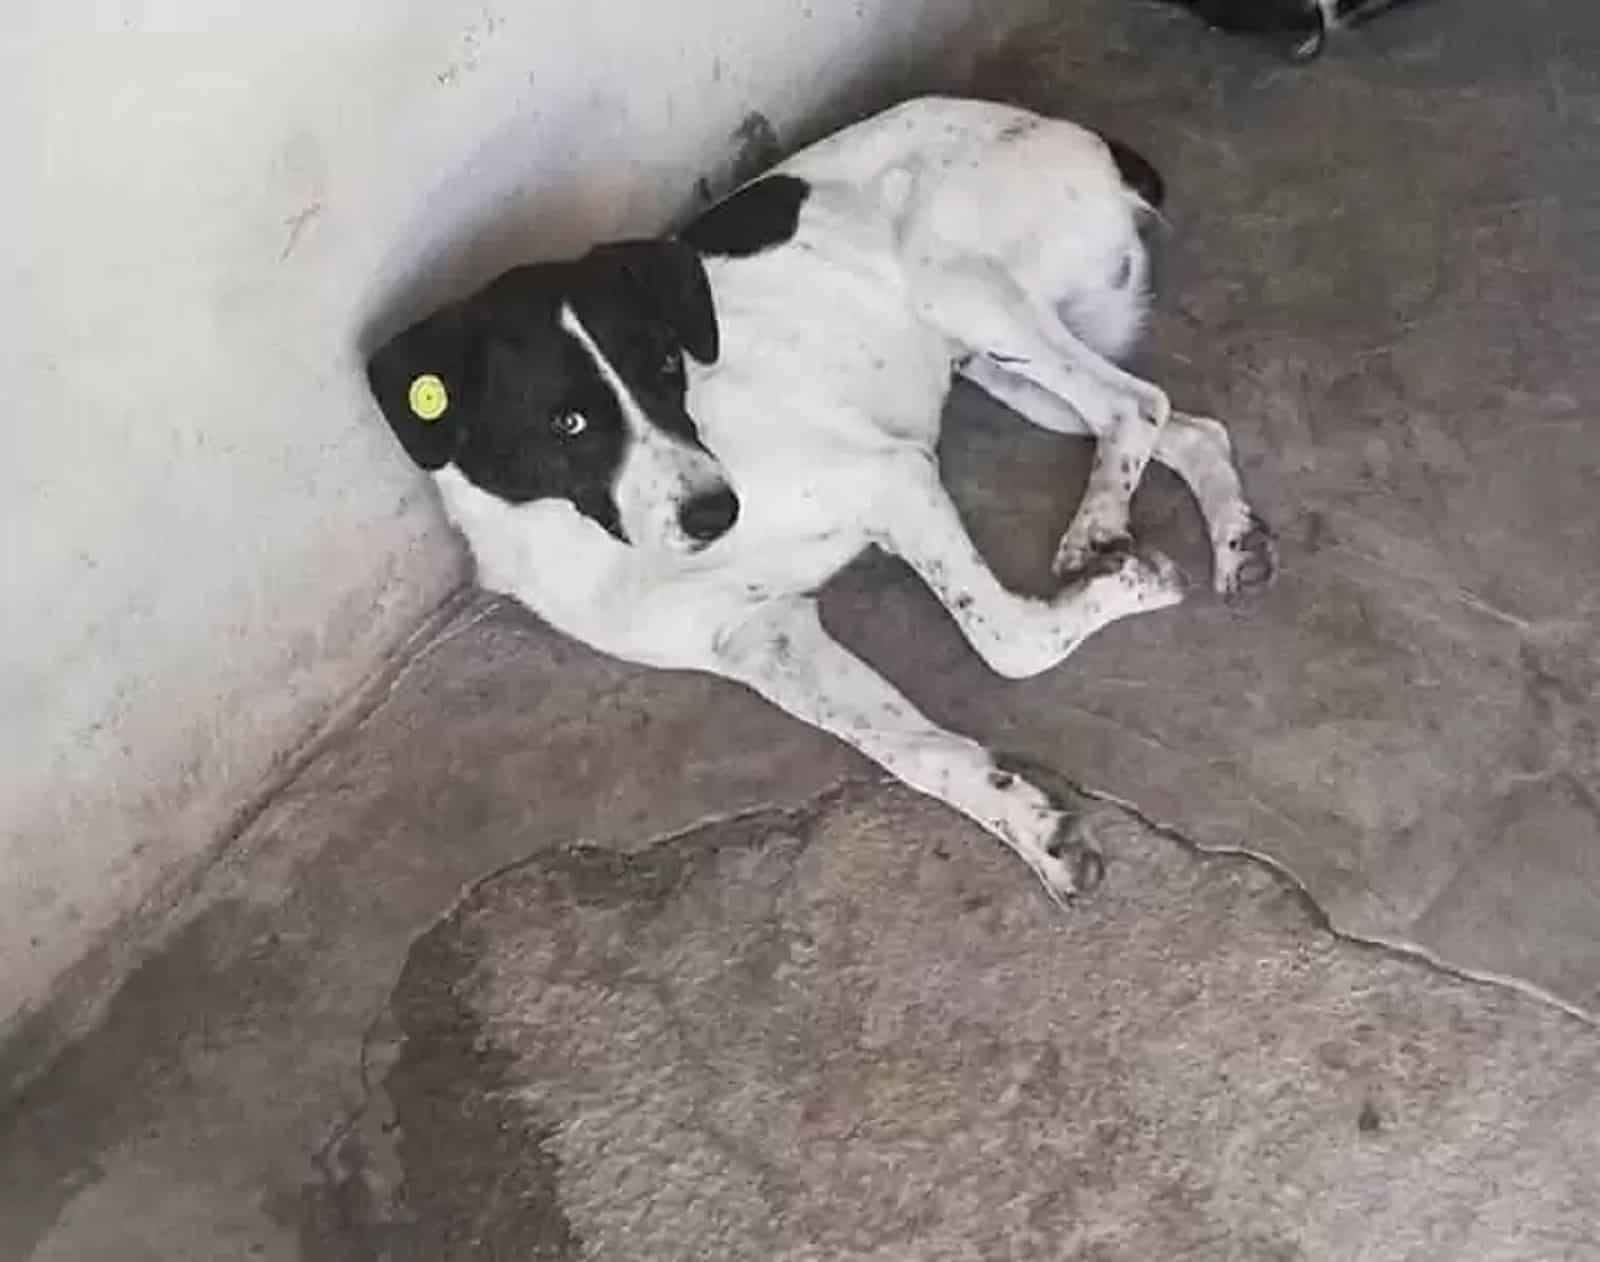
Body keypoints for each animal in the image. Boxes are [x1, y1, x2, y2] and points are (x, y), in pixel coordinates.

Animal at [366, 98, 1273, 908]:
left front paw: (1132, 585)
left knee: (1138, 405)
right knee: (1189, 427)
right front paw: (1029, 828)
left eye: (666, 366)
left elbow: (1007, 643)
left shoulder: (893, 480)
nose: (716, 513)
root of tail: (1079, 134)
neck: (613, 549)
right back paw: (1232, 537)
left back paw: (1100, 531)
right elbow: (912, 752)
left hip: (959, 288)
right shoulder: (764, 638)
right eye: (568, 421)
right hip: (1000, 370)